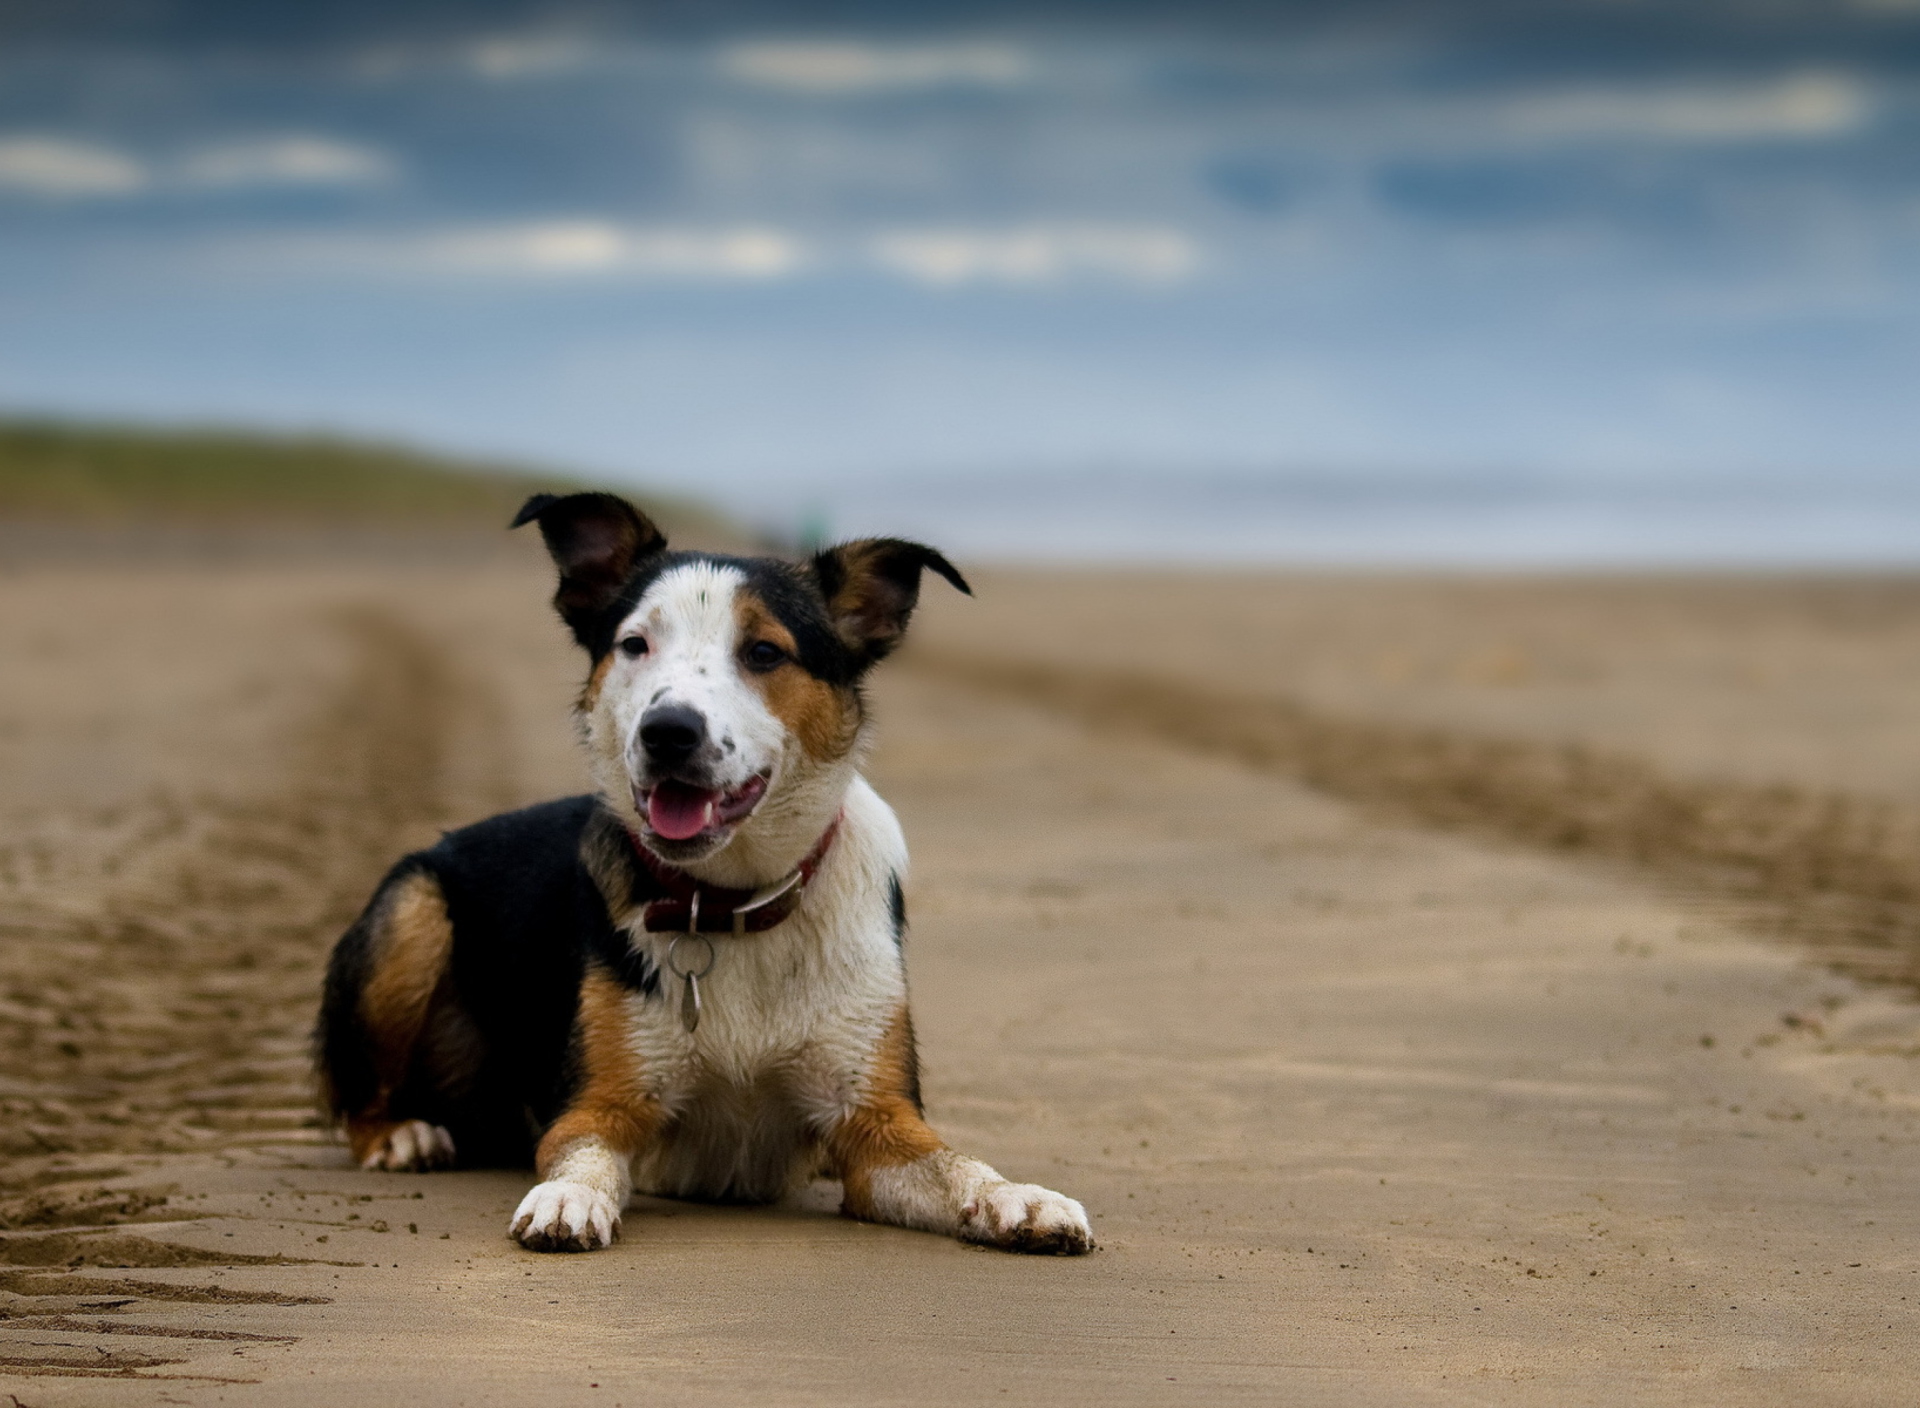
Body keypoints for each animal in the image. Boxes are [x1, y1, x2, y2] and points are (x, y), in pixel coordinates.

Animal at [316, 491, 1098, 1252]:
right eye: (635, 645)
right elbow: (585, 1156)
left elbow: (957, 1164)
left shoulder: (875, 1124)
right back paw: (403, 1136)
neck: (731, 901)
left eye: (764, 652)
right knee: (357, 1096)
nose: (668, 733)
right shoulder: (597, 1105)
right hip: (412, 912)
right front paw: (569, 1197)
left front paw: (1019, 1198)